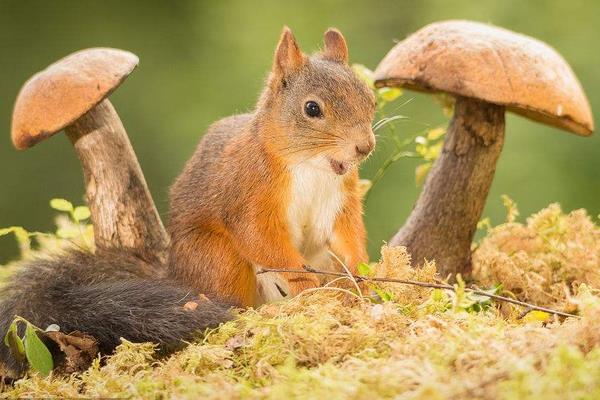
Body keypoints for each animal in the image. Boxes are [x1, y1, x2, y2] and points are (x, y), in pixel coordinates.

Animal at [0, 28, 376, 378]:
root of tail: (175, 273)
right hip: (217, 259)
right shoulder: (247, 193)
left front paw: (362, 275)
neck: (313, 166)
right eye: (312, 109)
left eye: (370, 98)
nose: (364, 147)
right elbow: (261, 239)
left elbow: (349, 233)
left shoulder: (340, 200)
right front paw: (307, 284)